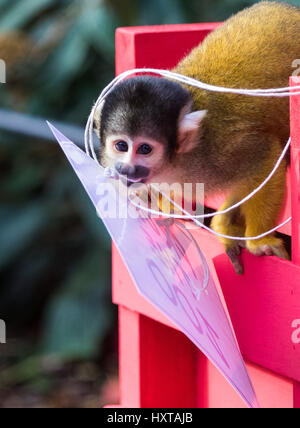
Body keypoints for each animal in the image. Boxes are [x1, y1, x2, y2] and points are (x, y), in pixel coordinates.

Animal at [93, 0, 298, 274]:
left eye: (145, 149)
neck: (178, 161)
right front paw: (159, 207)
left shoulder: (220, 152)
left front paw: (259, 241)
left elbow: (265, 159)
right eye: (121, 145)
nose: (125, 169)